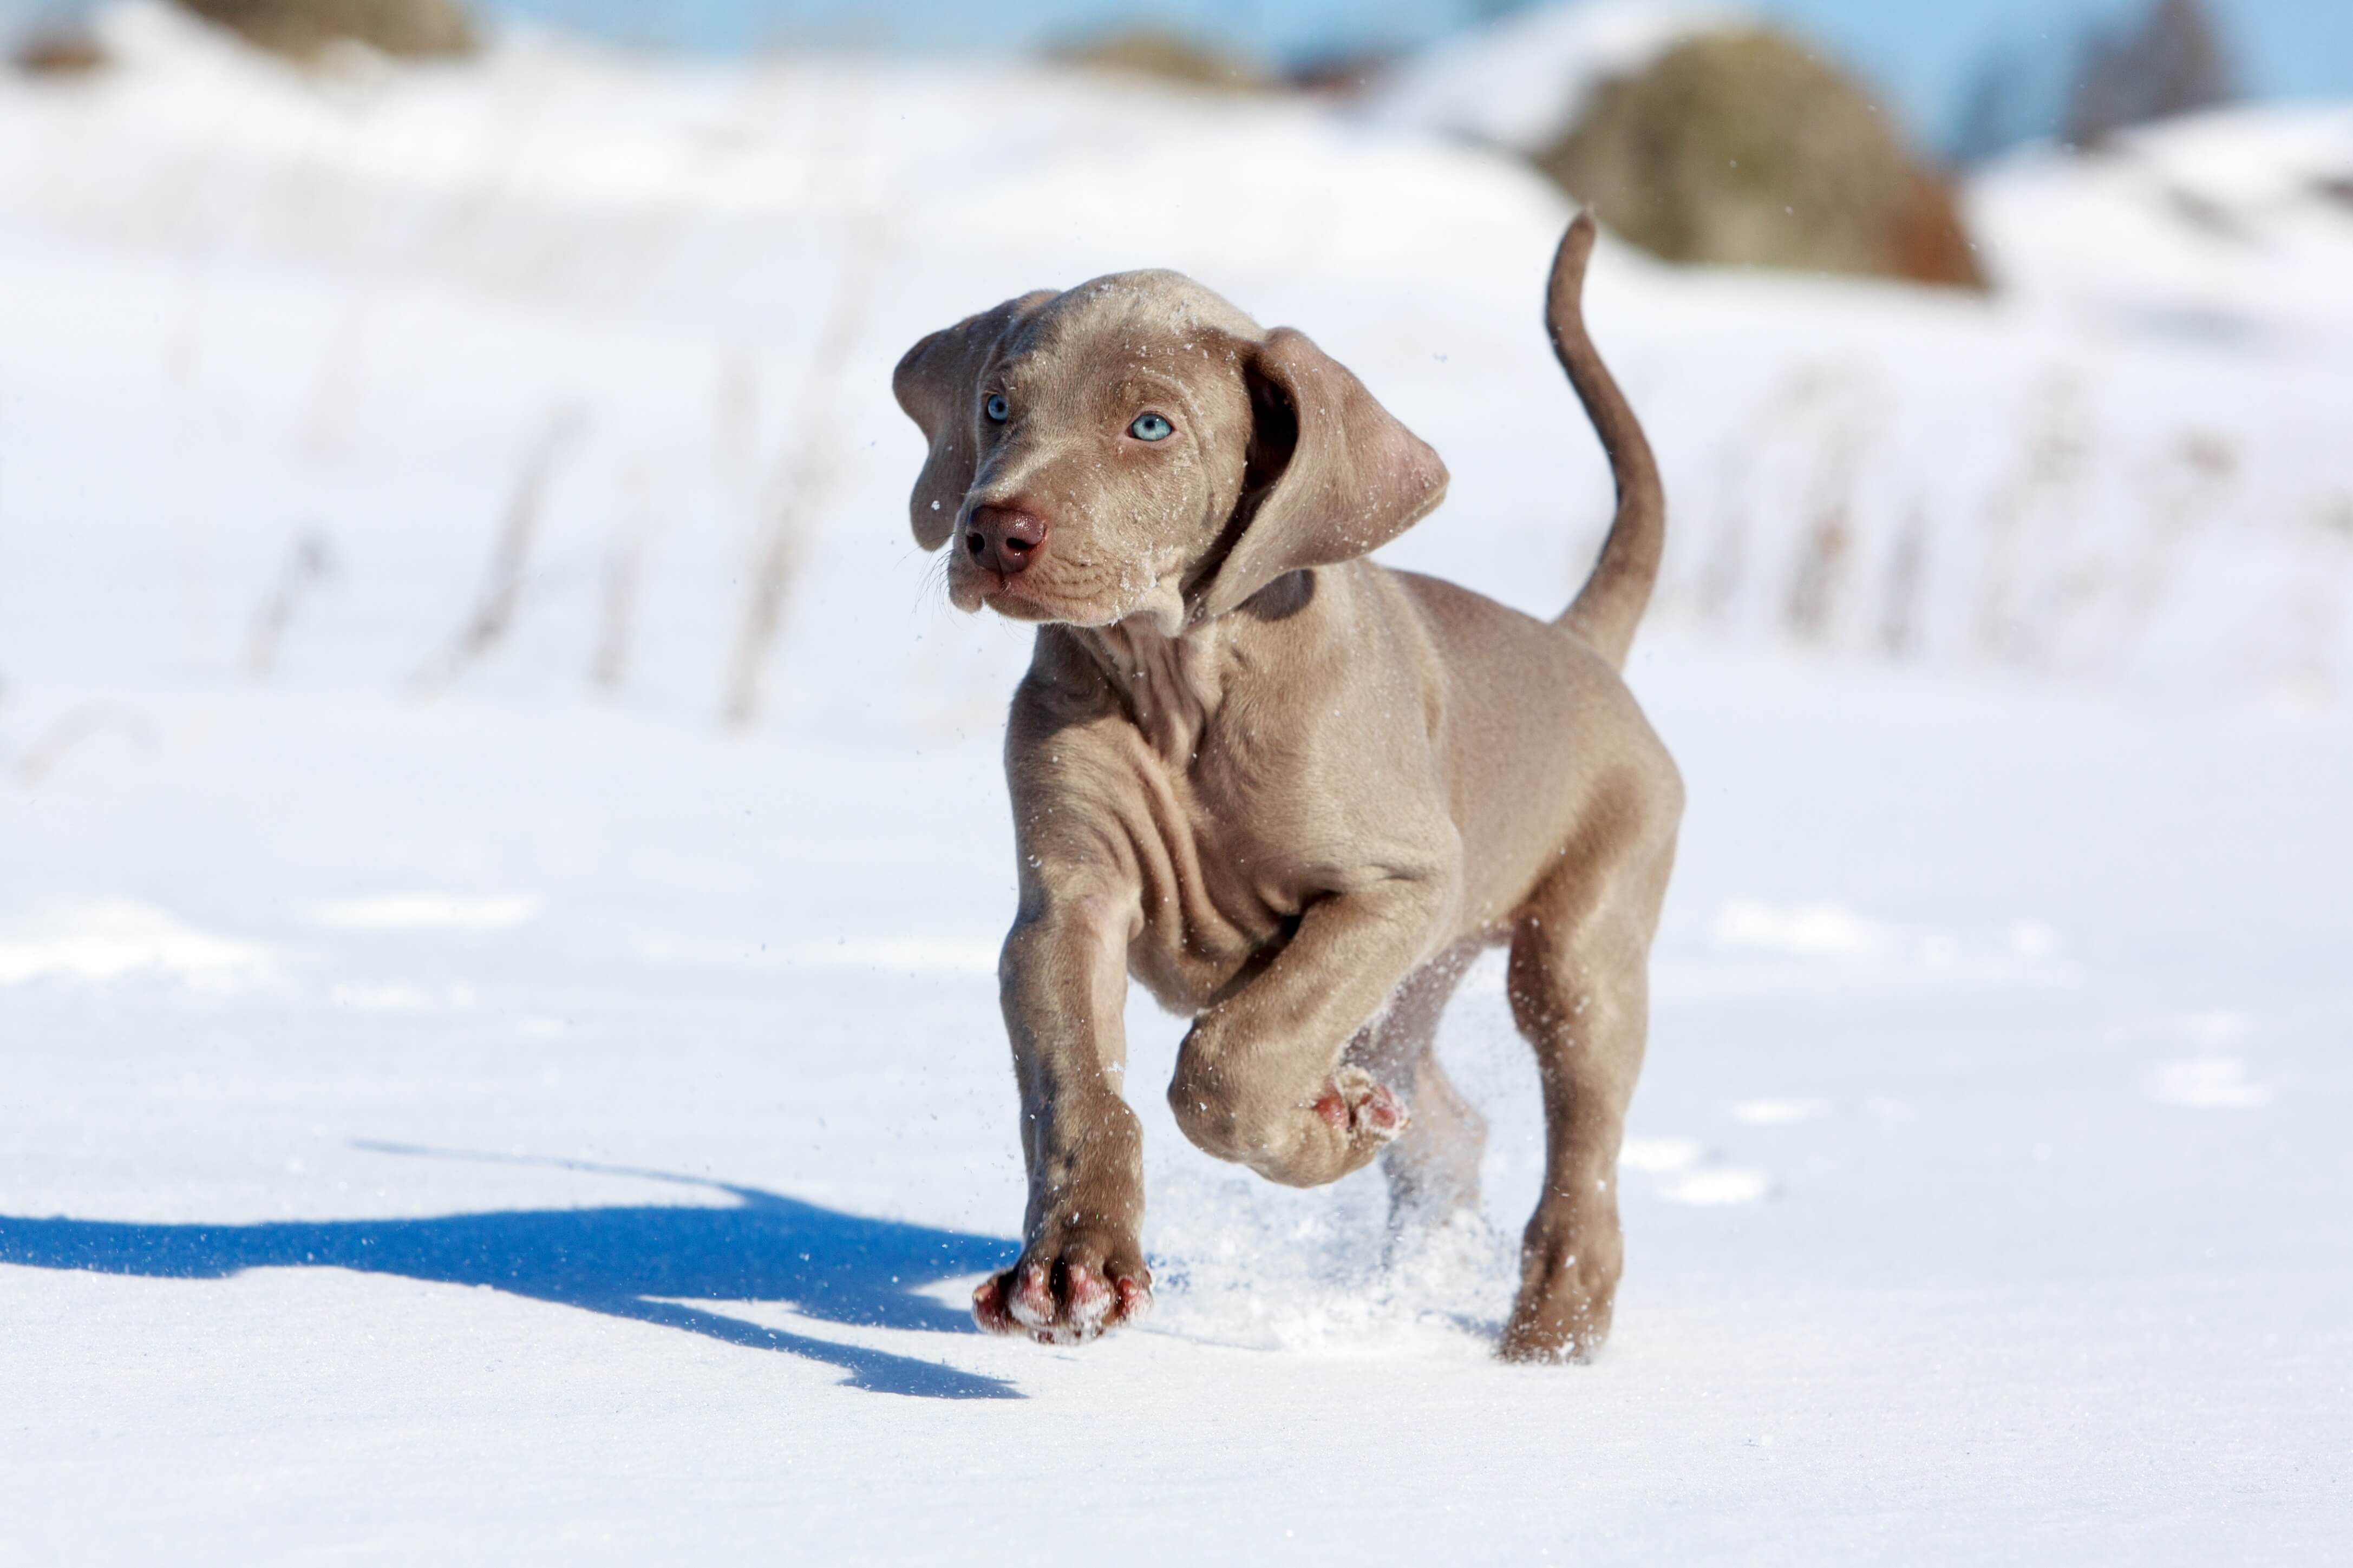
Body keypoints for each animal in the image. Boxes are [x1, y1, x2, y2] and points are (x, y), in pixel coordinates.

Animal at [889, 211, 1684, 1363]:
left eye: (1151, 426)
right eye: (997, 406)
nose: (994, 532)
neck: (1182, 683)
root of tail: (1578, 644)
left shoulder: (1399, 886)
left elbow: (1231, 1059)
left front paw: (1318, 1128)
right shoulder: (1067, 904)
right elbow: (1079, 1089)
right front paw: (1073, 1269)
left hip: (1577, 952)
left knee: (1582, 1146)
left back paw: (1549, 1337)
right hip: (1409, 991)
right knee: (1450, 1125)